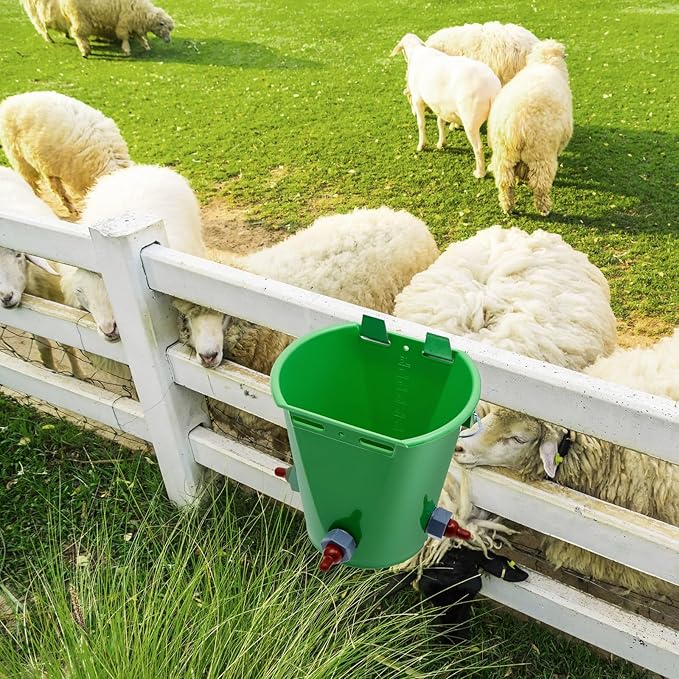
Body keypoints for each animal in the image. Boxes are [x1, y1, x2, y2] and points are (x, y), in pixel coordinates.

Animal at [0, 167, 84, 377]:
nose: (6, 297)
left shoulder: (59, 304)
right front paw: (50, 371)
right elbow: (43, 347)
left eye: (19, 254)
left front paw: (80, 375)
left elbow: (67, 344)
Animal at [391, 34, 501, 179]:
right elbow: (440, 123)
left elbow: (421, 124)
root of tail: (491, 87)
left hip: (470, 120)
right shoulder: (441, 106)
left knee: (478, 148)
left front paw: (422, 145)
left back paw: (480, 173)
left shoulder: (418, 99)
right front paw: (441, 143)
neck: (417, 52)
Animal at [488, 40, 573, 216]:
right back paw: (544, 209)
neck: (545, 62)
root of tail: (515, 124)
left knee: (505, 183)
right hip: (541, 154)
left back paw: (507, 207)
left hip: (504, 155)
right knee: (540, 185)